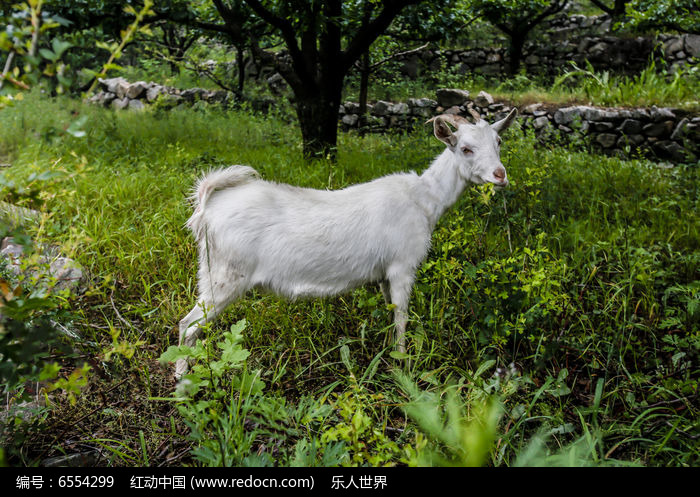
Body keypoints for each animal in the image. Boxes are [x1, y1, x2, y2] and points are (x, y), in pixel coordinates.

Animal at [173, 108, 516, 376]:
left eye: (499, 142)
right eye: (466, 149)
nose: (500, 175)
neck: (424, 199)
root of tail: (207, 208)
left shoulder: (384, 275)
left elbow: (390, 313)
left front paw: (388, 355)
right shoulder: (403, 266)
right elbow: (402, 319)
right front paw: (403, 365)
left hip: (210, 272)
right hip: (224, 277)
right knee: (187, 325)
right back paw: (182, 383)